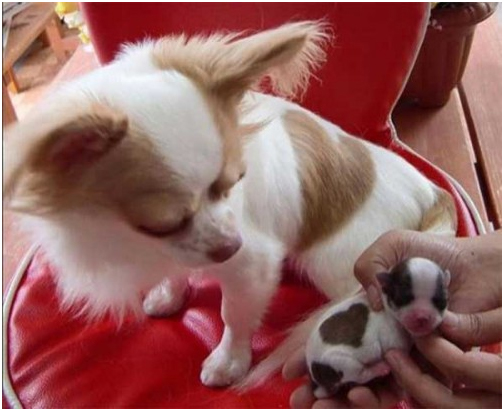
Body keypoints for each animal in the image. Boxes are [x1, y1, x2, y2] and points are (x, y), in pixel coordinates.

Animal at [3, 21, 457, 387]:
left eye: (235, 182)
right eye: (163, 224)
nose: (229, 245)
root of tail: (431, 192)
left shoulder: (253, 264)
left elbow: (233, 316)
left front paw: (228, 362)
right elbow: (175, 271)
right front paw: (168, 294)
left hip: (337, 263)